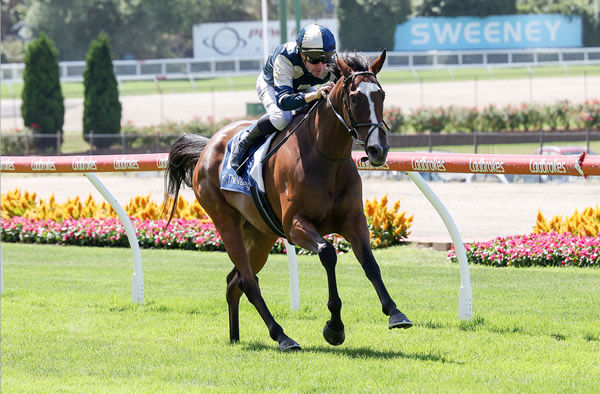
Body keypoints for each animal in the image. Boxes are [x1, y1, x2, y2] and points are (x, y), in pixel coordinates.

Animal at [164, 50, 412, 350]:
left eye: (382, 94)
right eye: (354, 97)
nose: (378, 149)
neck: (325, 157)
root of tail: (207, 147)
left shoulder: (353, 219)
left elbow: (369, 262)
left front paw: (395, 313)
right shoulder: (295, 224)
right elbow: (328, 253)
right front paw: (334, 327)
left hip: (260, 234)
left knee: (235, 280)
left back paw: (235, 336)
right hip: (227, 224)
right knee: (248, 282)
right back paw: (281, 336)